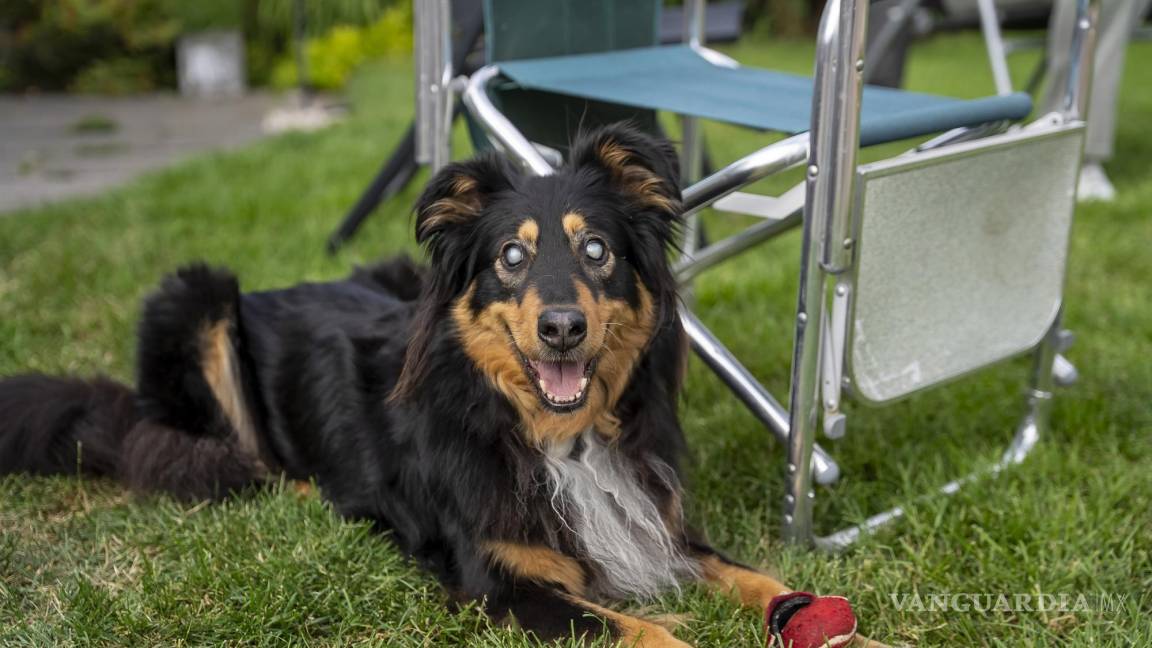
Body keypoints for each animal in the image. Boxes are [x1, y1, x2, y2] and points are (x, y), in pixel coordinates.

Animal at [0, 125, 866, 641]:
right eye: (512, 257)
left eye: (596, 251)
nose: (561, 328)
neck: (554, 437)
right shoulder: (497, 579)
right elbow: (641, 628)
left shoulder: (658, 525)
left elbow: (763, 578)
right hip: (196, 299)